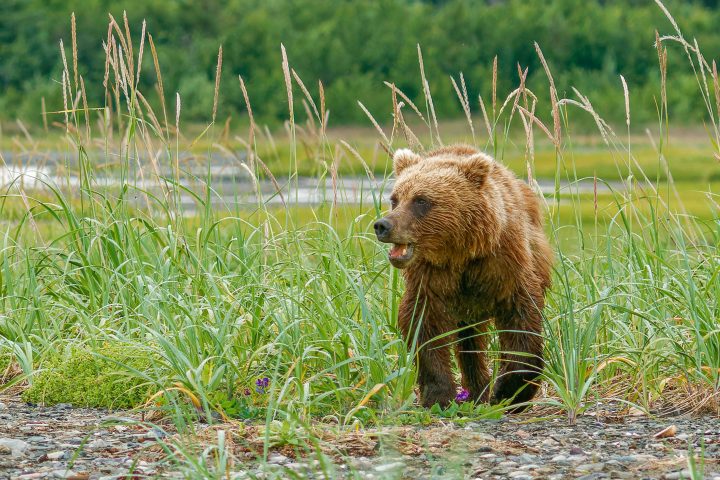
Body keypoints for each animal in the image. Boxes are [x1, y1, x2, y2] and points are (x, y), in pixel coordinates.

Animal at [373, 144, 552, 409]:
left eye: (421, 200)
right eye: (394, 199)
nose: (383, 225)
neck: (459, 253)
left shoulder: (504, 265)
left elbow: (521, 320)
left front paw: (509, 391)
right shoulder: (429, 279)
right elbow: (423, 325)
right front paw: (439, 395)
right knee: (469, 343)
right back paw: (476, 390)